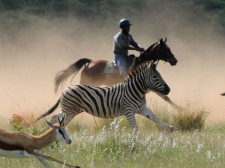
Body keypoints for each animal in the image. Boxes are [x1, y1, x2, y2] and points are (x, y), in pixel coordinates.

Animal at [37, 62, 175, 131]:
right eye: (155, 76)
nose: (168, 90)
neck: (137, 91)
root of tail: (65, 89)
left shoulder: (142, 108)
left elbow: (155, 118)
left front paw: (170, 128)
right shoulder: (128, 111)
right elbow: (135, 128)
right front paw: (137, 143)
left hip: (70, 110)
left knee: (54, 117)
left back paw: (44, 131)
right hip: (70, 111)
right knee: (60, 122)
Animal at [54, 38, 183, 111]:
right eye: (165, 49)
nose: (175, 60)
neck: (139, 64)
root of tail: (90, 62)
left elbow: (165, 97)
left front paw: (180, 108)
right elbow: (165, 96)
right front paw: (180, 109)